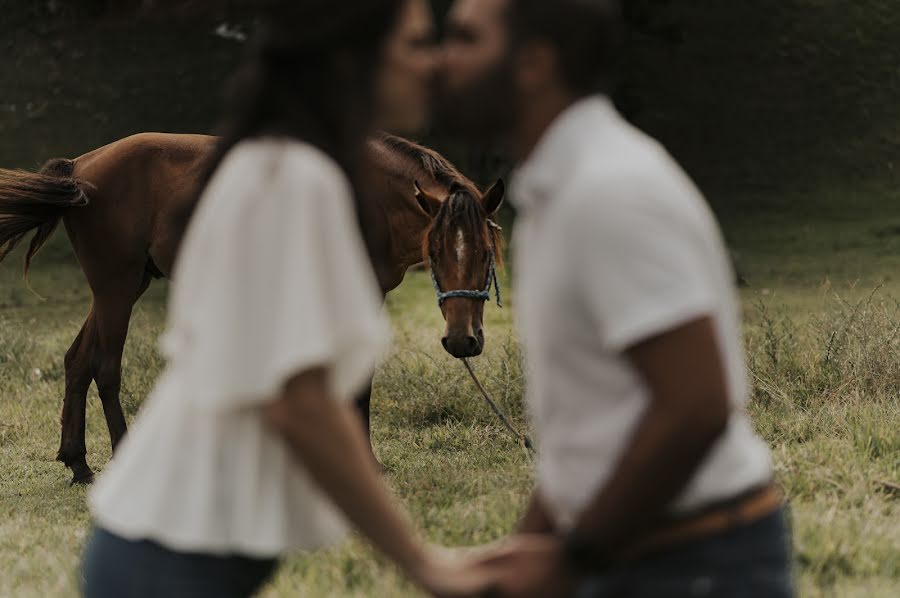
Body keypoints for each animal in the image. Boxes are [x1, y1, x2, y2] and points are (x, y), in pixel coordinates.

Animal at [0, 132, 502, 488]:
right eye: (435, 251)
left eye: (484, 253)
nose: (462, 340)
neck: (366, 196)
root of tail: (80, 167)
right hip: (115, 287)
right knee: (105, 368)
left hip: (125, 285)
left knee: (77, 362)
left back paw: (79, 465)